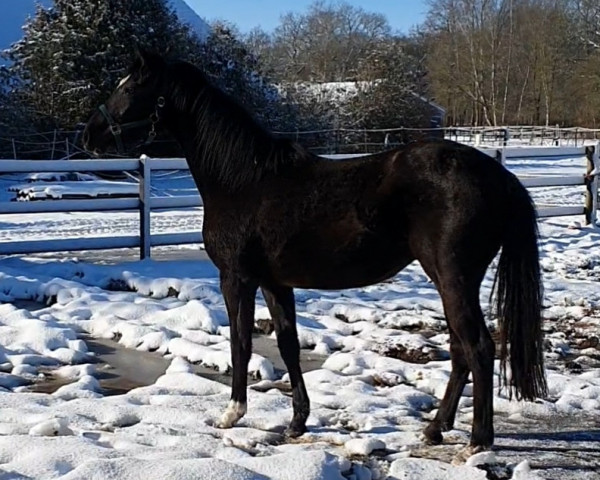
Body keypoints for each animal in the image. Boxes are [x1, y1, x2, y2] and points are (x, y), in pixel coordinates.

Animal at [84, 50, 548, 460]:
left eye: (131, 87)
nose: (90, 133)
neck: (244, 180)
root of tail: (499, 175)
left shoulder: (237, 278)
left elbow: (240, 343)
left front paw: (231, 415)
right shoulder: (275, 283)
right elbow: (287, 345)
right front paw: (297, 421)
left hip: (454, 277)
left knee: (479, 347)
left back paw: (477, 442)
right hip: (448, 279)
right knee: (459, 349)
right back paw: (435, 429)